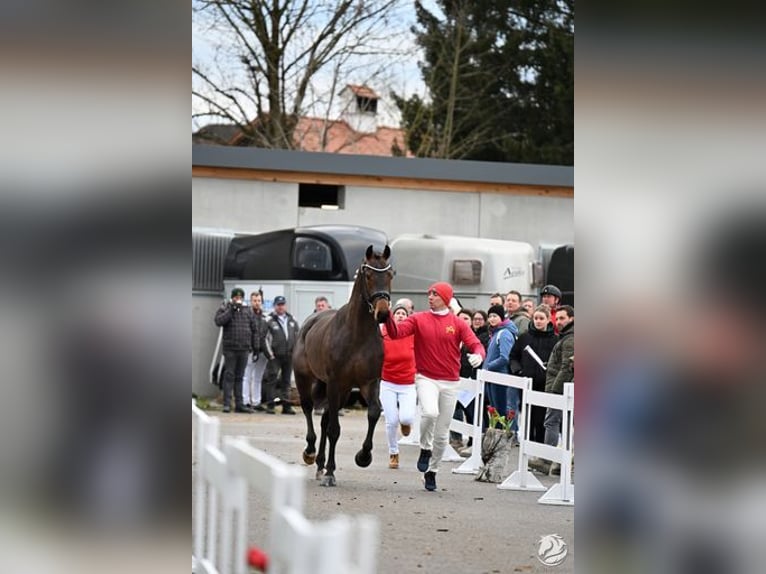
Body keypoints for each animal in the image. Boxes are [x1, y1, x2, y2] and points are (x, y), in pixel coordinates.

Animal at [292, 245, 392, 488]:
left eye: (390, 274)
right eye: (368, 275)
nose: (383, 313)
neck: (358, 335)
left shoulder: (368, 382)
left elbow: (373, 413)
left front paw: (363, 457)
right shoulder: (335, 382)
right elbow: (334, 430)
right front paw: (330, 473)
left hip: (342, 390)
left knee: (325, 419)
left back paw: (320, 464)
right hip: (306, 379)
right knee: (309, 409)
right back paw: (310, 454)